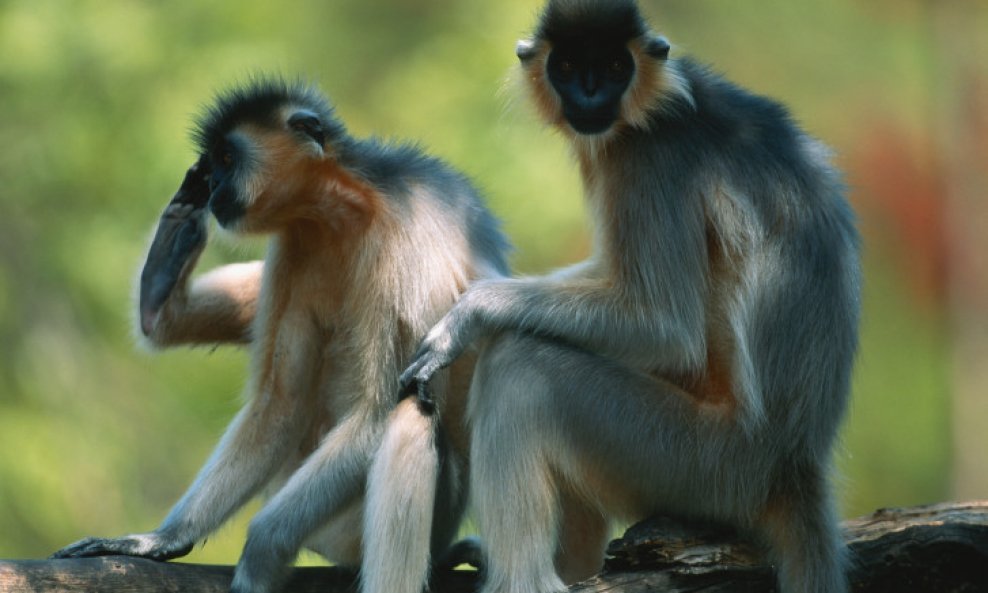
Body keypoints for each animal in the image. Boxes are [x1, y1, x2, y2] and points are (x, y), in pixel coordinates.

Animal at [55, 78, 512, 592]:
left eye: (227, 160)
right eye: (212, 165)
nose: (213, 186)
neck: (342, 211)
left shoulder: (402, 244)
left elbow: (377, 410)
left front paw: (260, 552)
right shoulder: (296, 244)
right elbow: (282, 403)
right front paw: (164, 539)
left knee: (412, 406)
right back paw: (160, 293)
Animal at [398, 1, 860, 592]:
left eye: (616, 66)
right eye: (569, 66)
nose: (591, 91)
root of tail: (796, 466)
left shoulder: (651, 159)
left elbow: (667, 329)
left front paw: (468, 317)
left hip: (701, 464)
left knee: (521, 368)